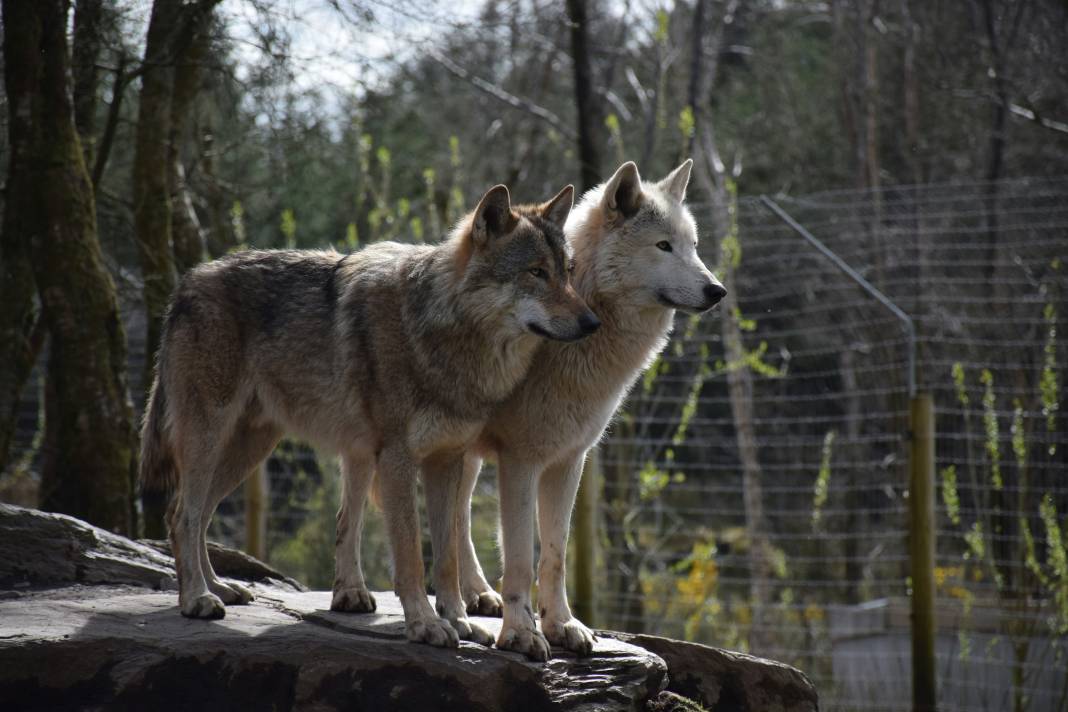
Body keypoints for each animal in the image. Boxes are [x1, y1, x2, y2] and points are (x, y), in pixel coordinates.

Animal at [137, 183, 598, 653]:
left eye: (568, 271)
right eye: (536, 272)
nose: (592, 322)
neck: (443, 336)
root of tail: (187, 283)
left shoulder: (446, 461)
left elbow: (447, 556)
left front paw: (459, 619)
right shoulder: (397, 459)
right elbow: (412, 555)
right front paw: (426, 624)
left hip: (248, 450)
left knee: (196, 516)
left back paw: (219, 588)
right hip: (209, 439)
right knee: (183, 514)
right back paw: (196, 598)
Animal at [461, 159, 726, 661]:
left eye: (693, 247)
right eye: (663, 246)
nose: (717, 290)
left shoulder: (569, 461)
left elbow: (556, 554)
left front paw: (562, 625)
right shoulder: (520, 461)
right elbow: (521, 558)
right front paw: (520, 633)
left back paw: (477, 596)